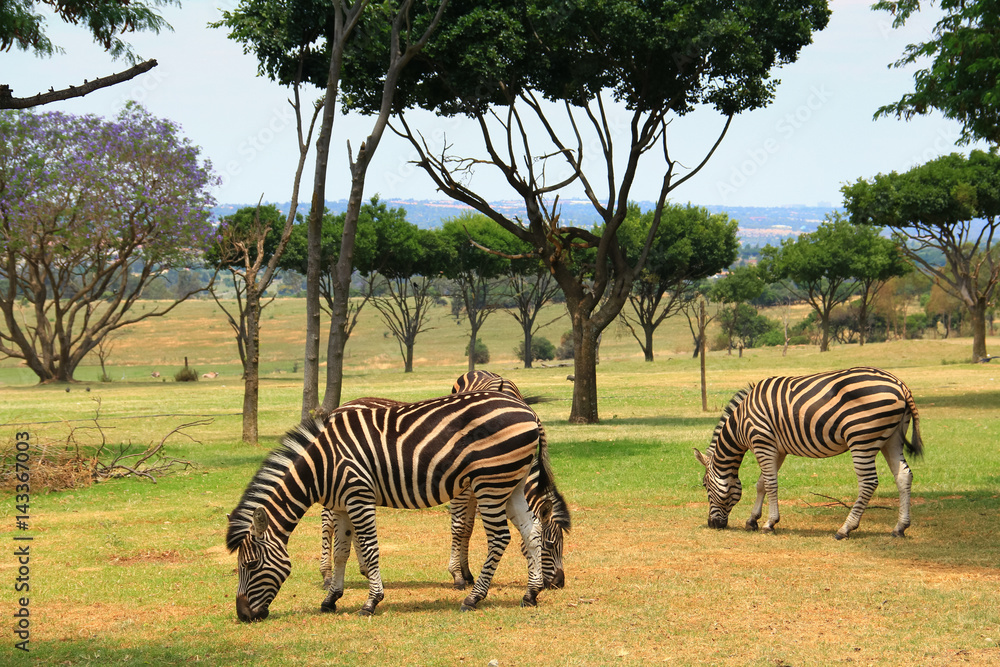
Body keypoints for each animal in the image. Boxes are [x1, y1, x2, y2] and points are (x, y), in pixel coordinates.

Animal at [226, 391, 553, 621]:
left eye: (251, 565)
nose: (243, 616)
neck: (322, 465)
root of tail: (528, 410)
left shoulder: (359, 497)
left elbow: (370, 549)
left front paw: (371, 602)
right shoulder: (342, 505)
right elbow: (342, 551)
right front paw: (331, 598)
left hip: (490, 483)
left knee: (500, 538)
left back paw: (474, 598)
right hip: (512, 483)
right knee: (531, 531)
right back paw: (531, 593)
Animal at [694, 367, 924, 540]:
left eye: (704, 485)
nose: (712, 525)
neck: (740, 423)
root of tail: (900, 384)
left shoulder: (762, 442)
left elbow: (770, 484)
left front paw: (769, 523)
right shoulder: (777, 449)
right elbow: (761, 484)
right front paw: (752, 520)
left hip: (861, 439)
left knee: (868, 482)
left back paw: (845, 529)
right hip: (892, 438)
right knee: (904, 476)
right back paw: (900, 528)